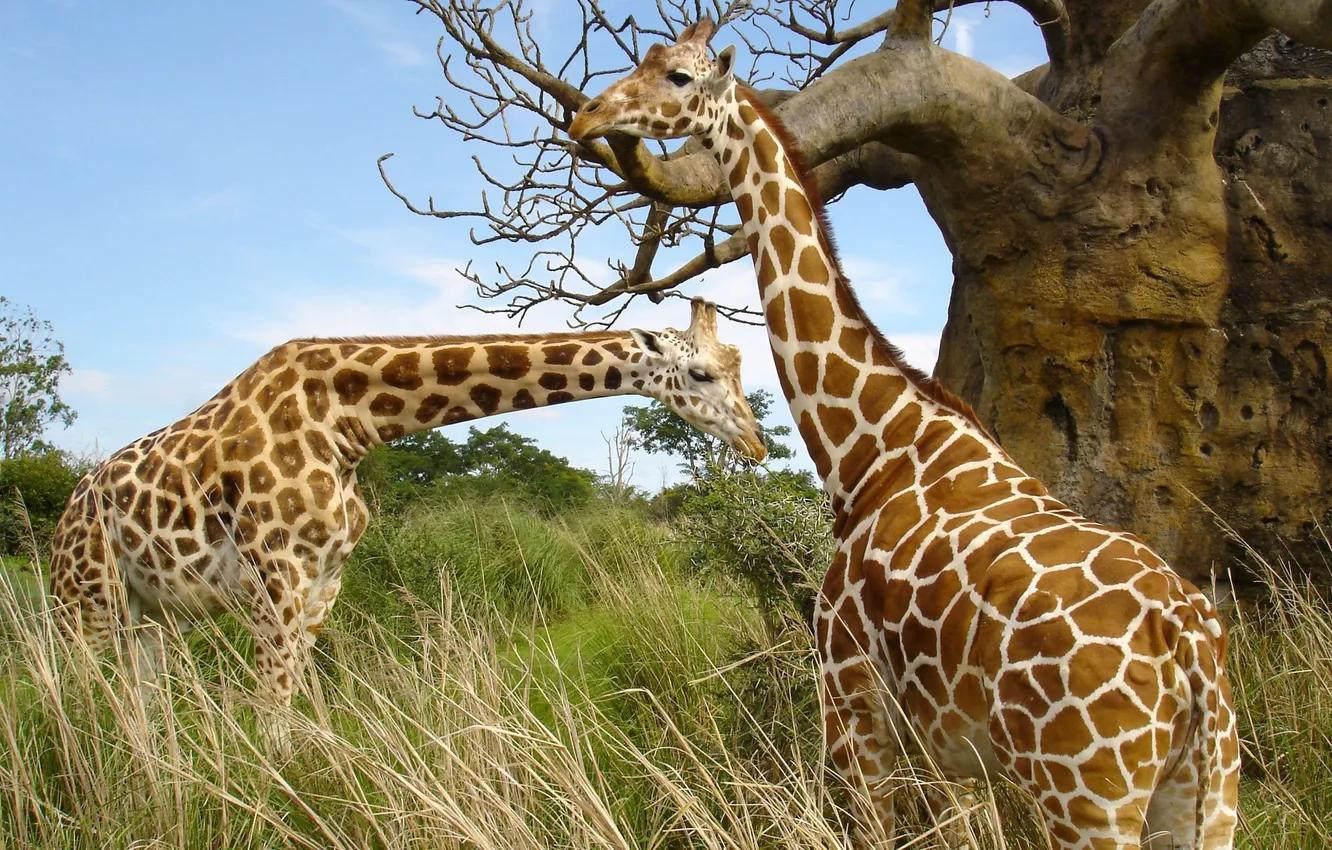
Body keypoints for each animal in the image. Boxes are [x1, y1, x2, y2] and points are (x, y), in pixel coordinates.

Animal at [46, 298, 767, 746]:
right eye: (701, 372)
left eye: (738, 368)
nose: (758, 444)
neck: (347, 423)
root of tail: (66, 514)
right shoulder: (276, 571)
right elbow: (271, 714)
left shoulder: (325, 578)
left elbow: (293, 708)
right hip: (84, 603)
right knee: (75, 697)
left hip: (153, 616)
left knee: (139, 704)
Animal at [567, 19, 1241, 850]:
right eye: (646, 59)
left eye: (680, 77)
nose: (588, 115)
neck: (871, 448)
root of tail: (1191, 649)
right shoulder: (948, 746)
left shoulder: (851, 697)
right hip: (1205, 792)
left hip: (1089, 794)